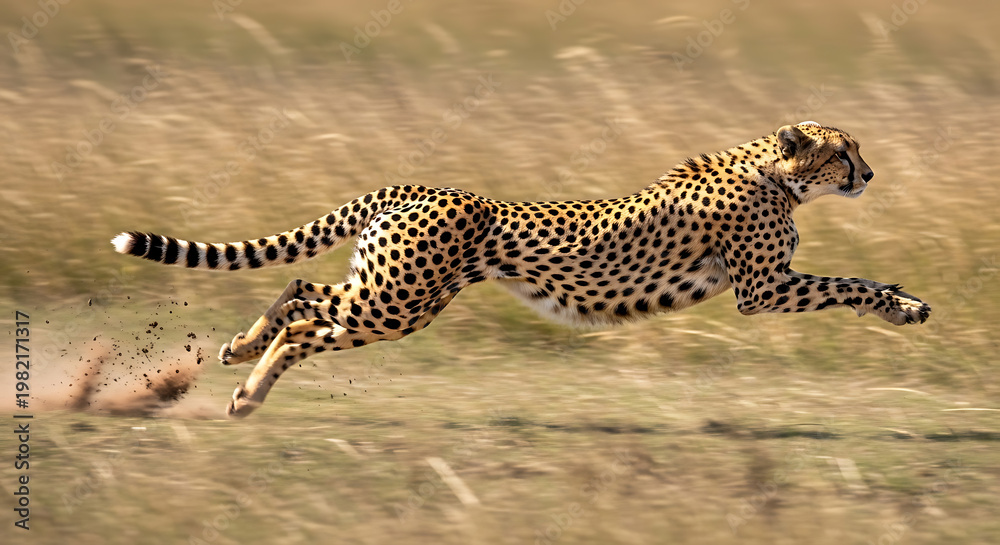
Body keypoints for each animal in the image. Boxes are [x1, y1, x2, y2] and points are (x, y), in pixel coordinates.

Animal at [112, 121, 931, 418]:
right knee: (308, 313)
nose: (871, 174)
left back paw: (239, 359)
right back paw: (247, 380)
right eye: (844, 151)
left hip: (390, 293)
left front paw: (902, 305)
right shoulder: (762, 290)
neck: (769, 169)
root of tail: (425, 186)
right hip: (397, 301)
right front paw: (902, 303)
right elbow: (845, 282)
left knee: (302, 293)